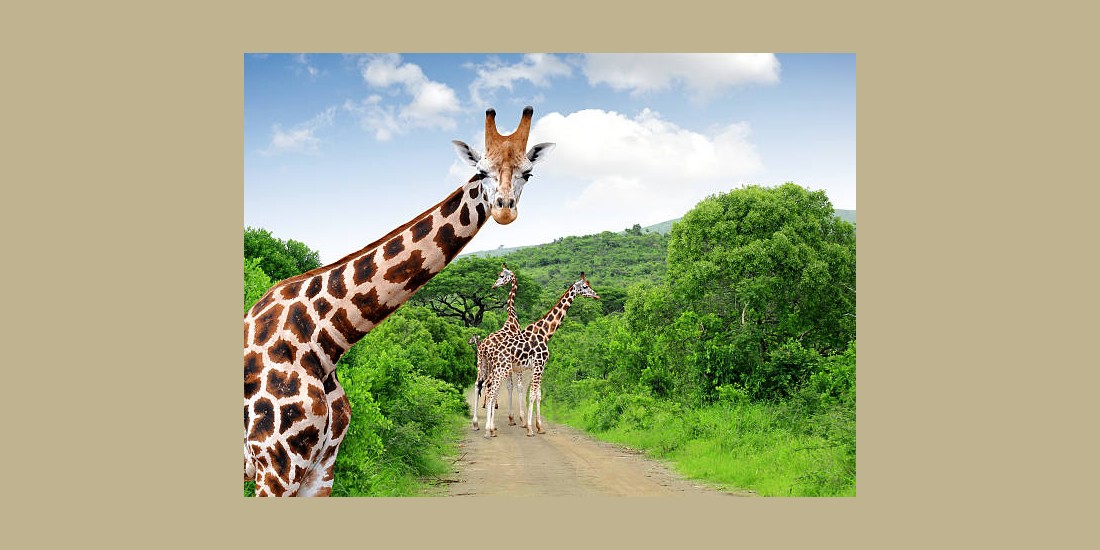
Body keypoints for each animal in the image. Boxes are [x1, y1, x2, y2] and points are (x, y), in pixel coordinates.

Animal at [244, 106, 554, 496]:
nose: (504, 210)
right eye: (481, 171)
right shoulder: (276, 465)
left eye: (528, 172)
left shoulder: (322, 467)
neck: (322, 339)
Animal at [482, 273, 600, 438]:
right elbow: (532, 394)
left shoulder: (536, 367)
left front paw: (539, 427)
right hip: (501, 369)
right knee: (492, 392)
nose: (596, 295)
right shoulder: (539, 364)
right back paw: (489, 430)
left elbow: (538, 394)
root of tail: (488, 350)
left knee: (489, 389)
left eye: (589, 284)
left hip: (496, 369)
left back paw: (490, 428)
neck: (545, 333)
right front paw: (530, 428)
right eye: (584, 286)